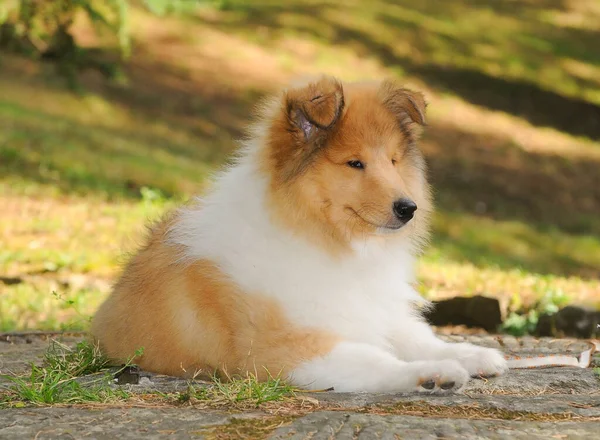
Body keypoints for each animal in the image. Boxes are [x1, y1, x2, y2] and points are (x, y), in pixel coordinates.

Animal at [92, 75, 506, 392]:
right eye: (354, 163)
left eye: (393, 161)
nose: (408, 208)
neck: (327, 240)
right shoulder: (288, 349)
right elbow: (375, 358)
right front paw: (434, 373)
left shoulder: (374, 311)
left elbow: (418, 337)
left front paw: (473, 354)